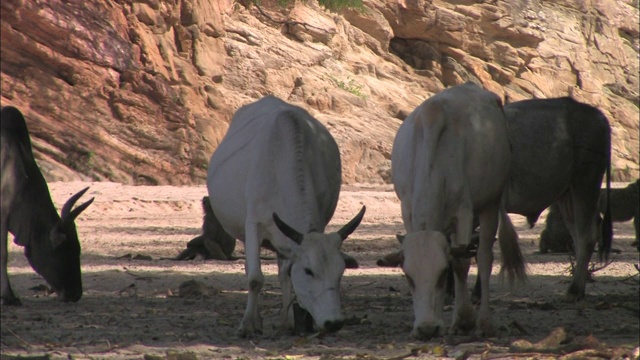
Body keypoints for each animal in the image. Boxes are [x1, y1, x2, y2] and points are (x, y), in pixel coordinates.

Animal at [206, 95, 364, 338]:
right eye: (309, 271)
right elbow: (255, 278)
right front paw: (248, 324)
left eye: (341, 272)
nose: (334, 322)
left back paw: (287, 321)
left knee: (283, 272)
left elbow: (287, 274)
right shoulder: (253, 224)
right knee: (251, 269)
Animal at [396, 82, 524, 340]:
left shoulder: (464, 211)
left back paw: (484, 321)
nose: (426, 329)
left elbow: (461, 262)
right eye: (408, 277)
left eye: (441, 274)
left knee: (484, 256)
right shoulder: (407, 209)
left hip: (490, 202)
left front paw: (465, 319)